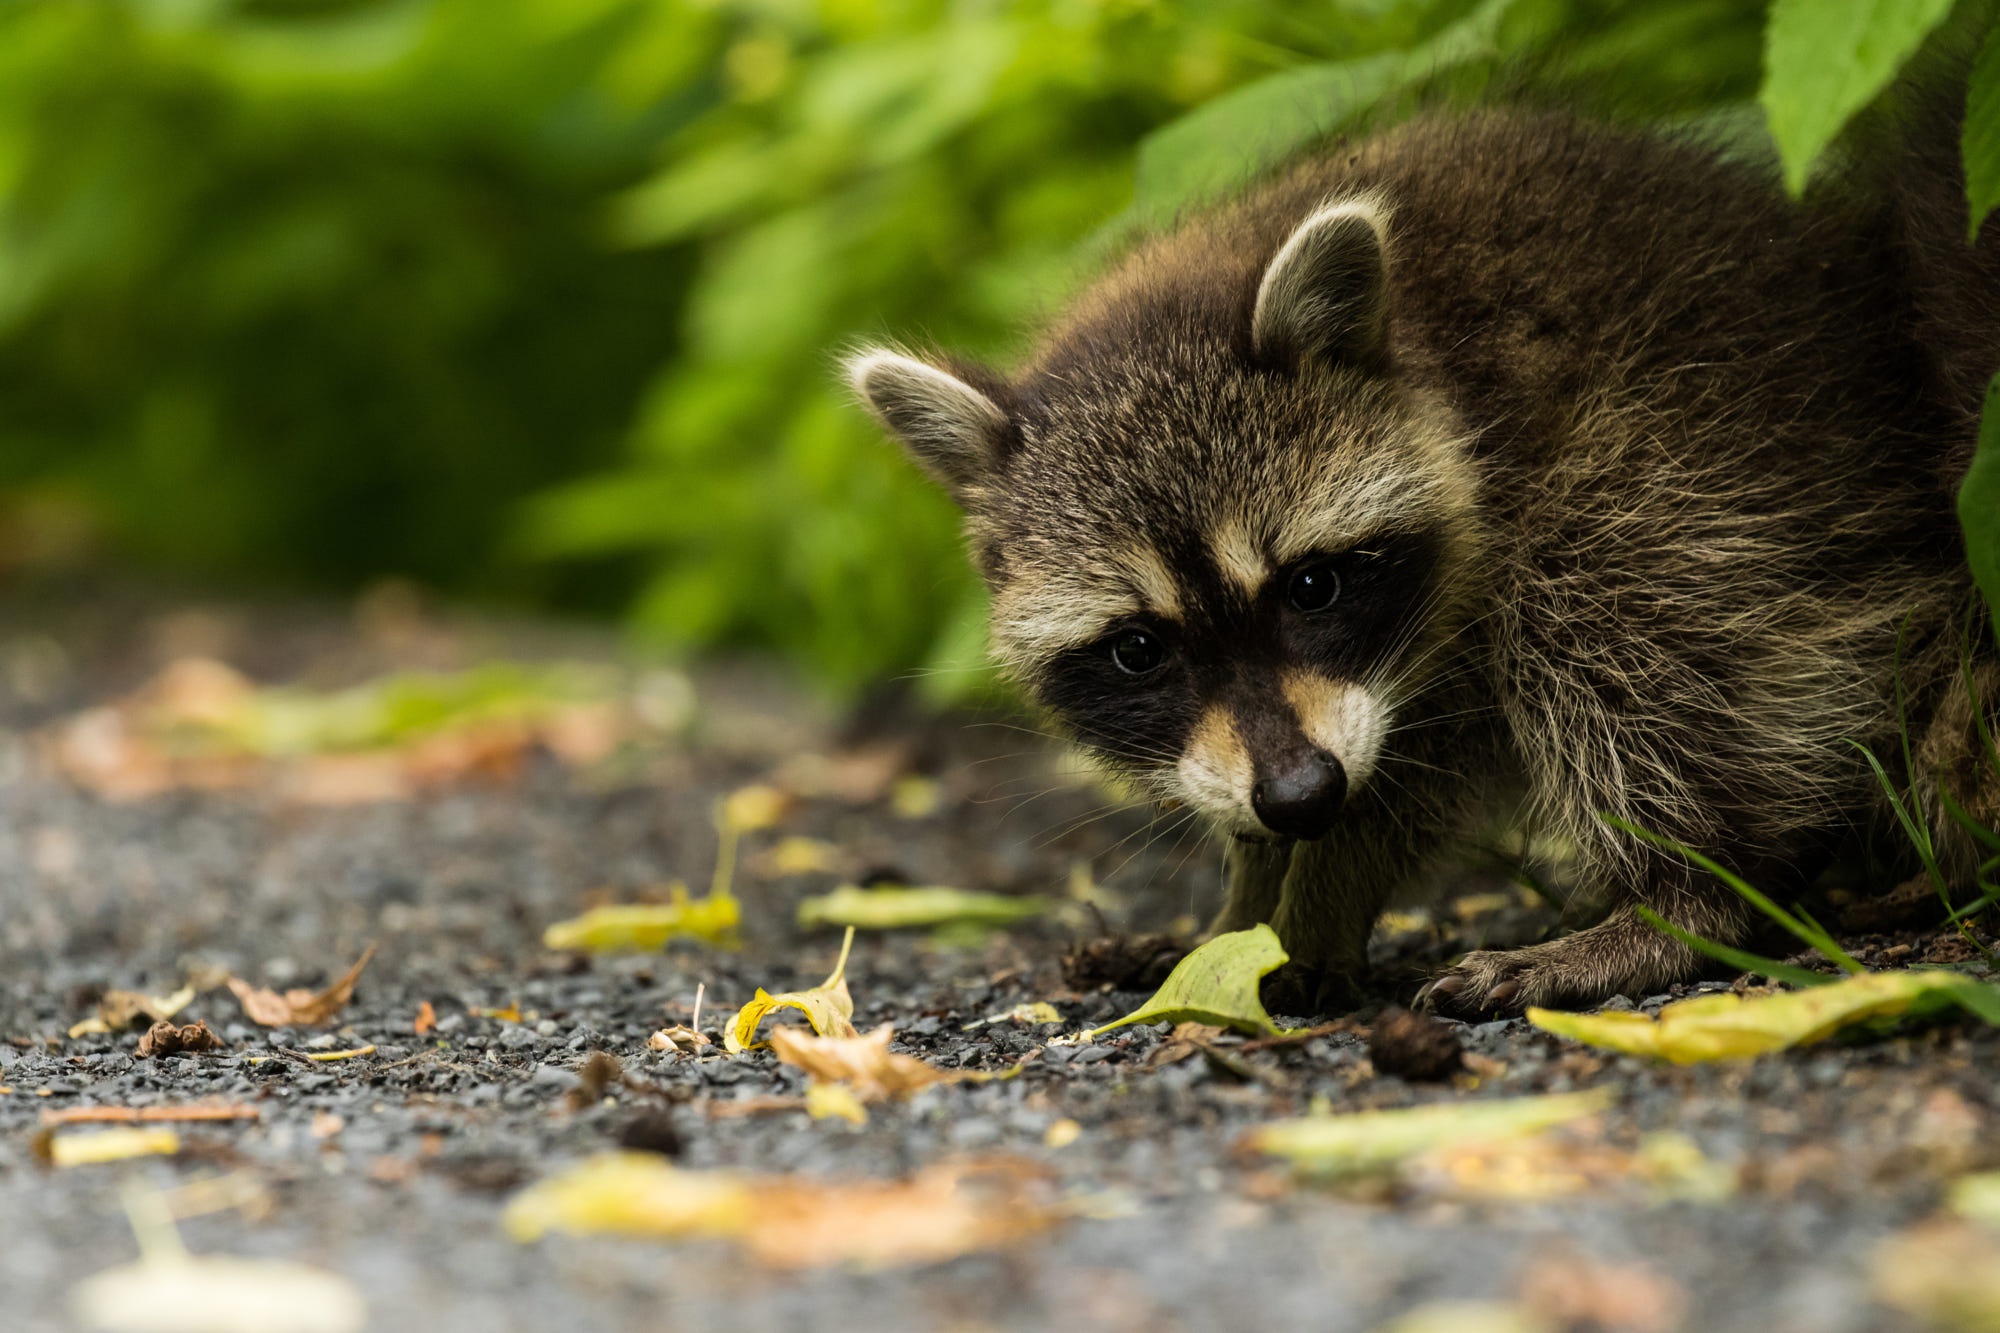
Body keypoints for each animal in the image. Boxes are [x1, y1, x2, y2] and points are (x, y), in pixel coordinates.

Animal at [840, 109, 2000, 1012]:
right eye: (1137, 648)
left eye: (1311, 586)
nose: (1298, 794)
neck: (1422, 359)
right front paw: (1237, 913)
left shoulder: (1488, 530)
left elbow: (1414, 772)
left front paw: (1307, 909)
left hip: (1706, 464)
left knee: (1608, 604)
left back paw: (1684, 897)